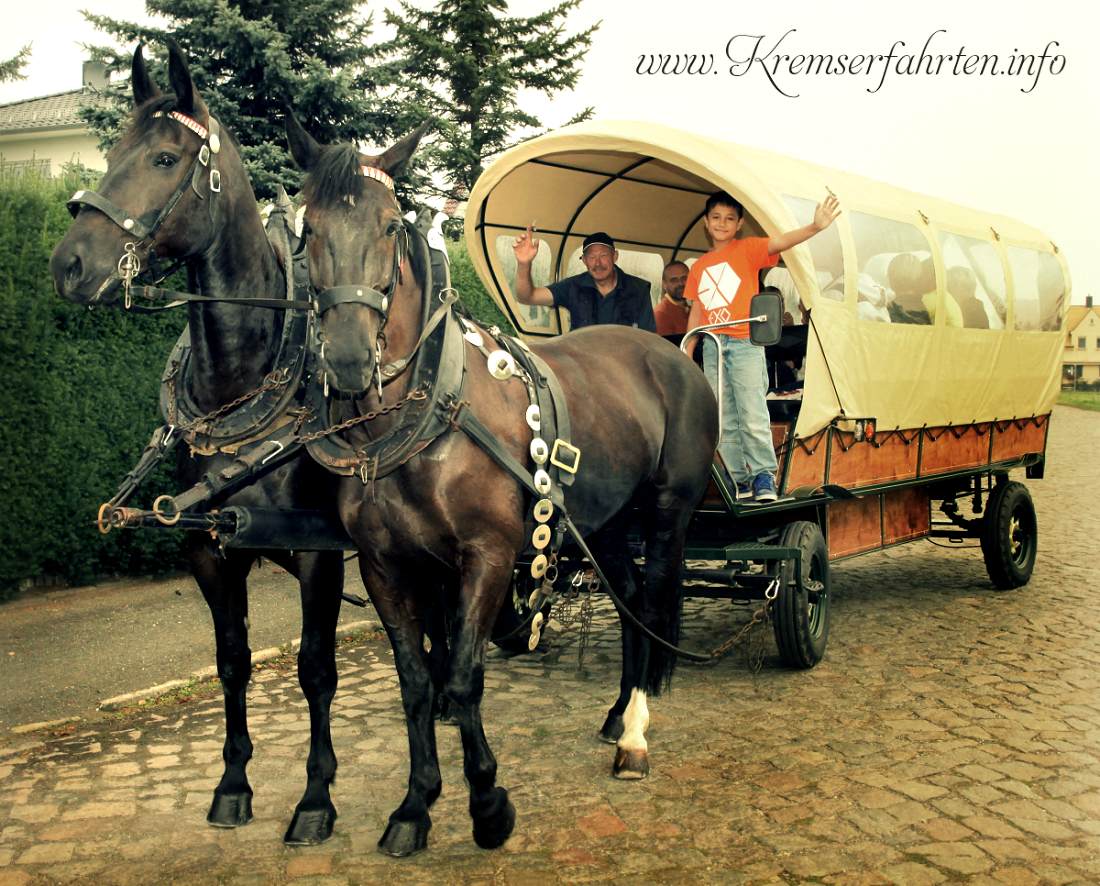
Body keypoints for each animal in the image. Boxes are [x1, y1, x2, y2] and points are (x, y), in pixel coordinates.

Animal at [49, 43, 343, 845]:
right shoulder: (211, 550)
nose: (68, 265)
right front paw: (233, 785)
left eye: (164, 157)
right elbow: (233, 662)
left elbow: (315, 668)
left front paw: (315, 799)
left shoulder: (321, 550)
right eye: (109, 151)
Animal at [283, 121, 717, 854]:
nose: (346, 359)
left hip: (668, 510)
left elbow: (461, 677)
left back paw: (634, 735)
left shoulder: (486, 555)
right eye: (307, 229)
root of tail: (672, 352)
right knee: (631, 600)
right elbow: (417, 682)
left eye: (391, 224)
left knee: (655, 604)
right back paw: (615, 713)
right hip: (603, 521)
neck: (427, 414)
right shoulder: (387, 566)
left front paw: (487, 803)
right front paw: (415, 805)